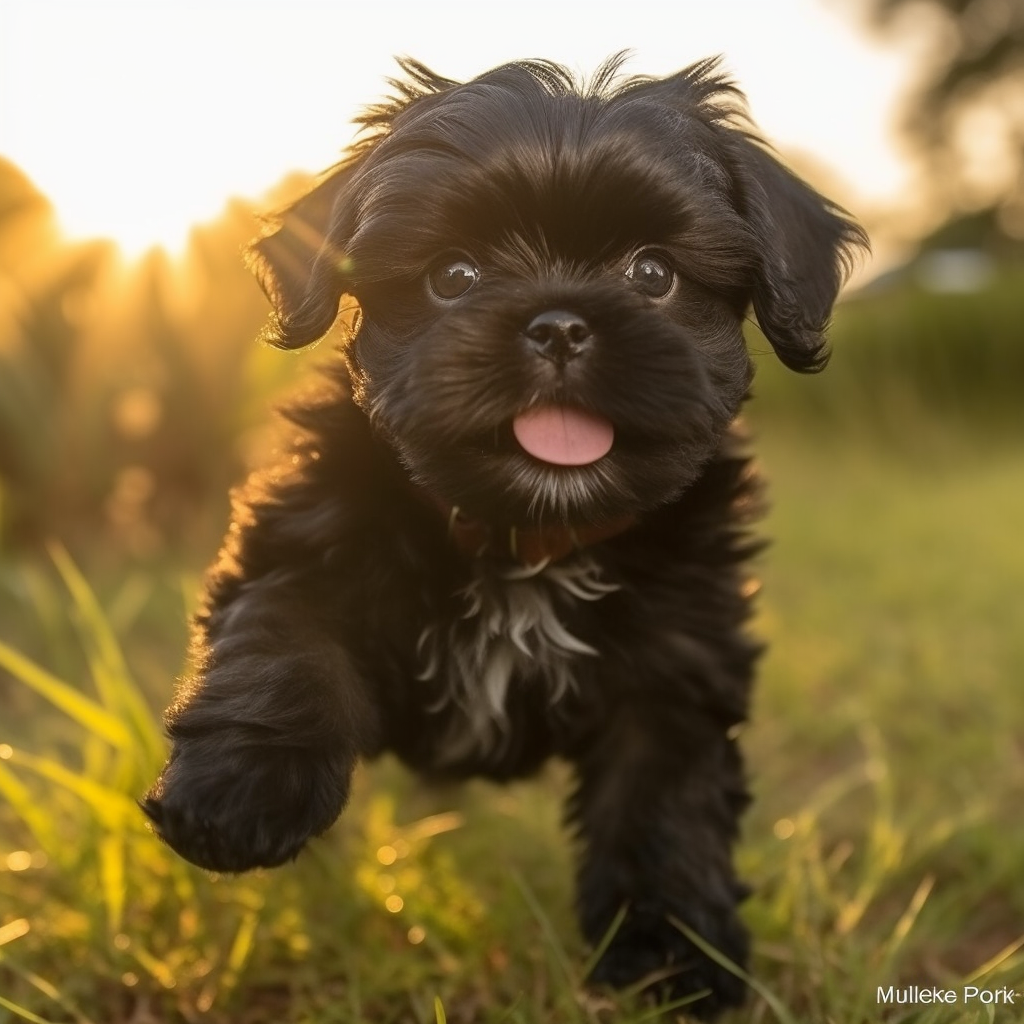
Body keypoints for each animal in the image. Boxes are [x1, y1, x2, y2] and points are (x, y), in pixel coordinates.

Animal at [142, 58, 864, 1024]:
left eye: (653, 272)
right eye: (453, 274)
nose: (557, 323)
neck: (529, 539)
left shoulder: (676, 666)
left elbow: (664, 811)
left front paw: (671, 961)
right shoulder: (304, 534)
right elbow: (284, 638)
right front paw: (239, 794)